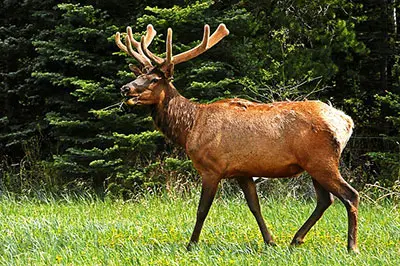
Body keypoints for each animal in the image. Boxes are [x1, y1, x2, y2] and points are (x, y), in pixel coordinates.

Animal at [115, 23, 360, 254]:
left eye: (155, 79)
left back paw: (352, 247)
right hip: (313, 165)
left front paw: (191, 245)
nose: (125, 88)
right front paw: (270, 242)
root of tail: (346, 122)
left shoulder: (212, 168)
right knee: (325, 200)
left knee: (350, 195)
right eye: (138, 75)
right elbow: (254, 206)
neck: (190, 128)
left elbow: (202, 209)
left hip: (322, 161)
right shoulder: (243, 172)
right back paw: (295, 240)